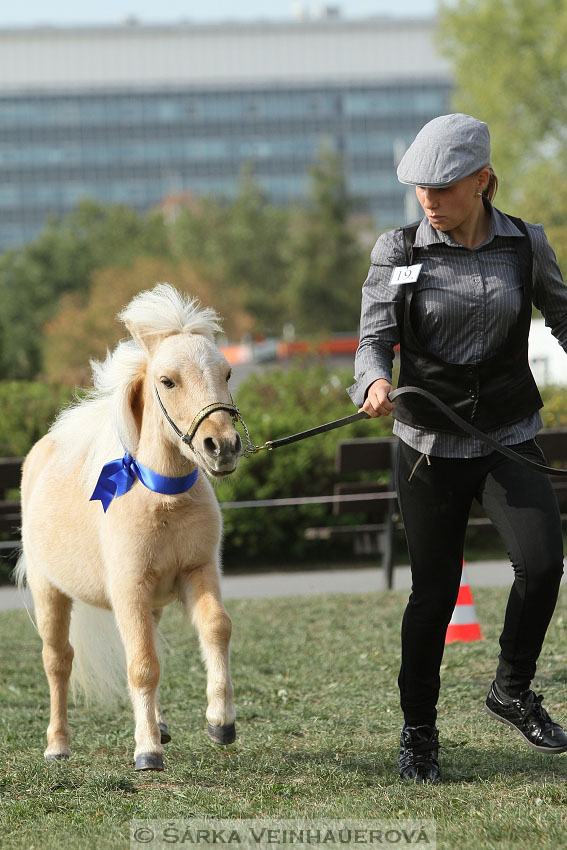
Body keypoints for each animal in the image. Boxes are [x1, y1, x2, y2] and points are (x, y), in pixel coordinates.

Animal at [16, 284, 243, 768]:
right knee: (58, 661)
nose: (223, 447)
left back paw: (160, 724)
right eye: (168, 381)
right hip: (51, 592)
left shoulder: (197, 573)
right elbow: (141, 666)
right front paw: (147, 751)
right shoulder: (129, 589)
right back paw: (58, 745)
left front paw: (221, 722)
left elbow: (216, 628)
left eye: (228, 372)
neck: (163, 499)